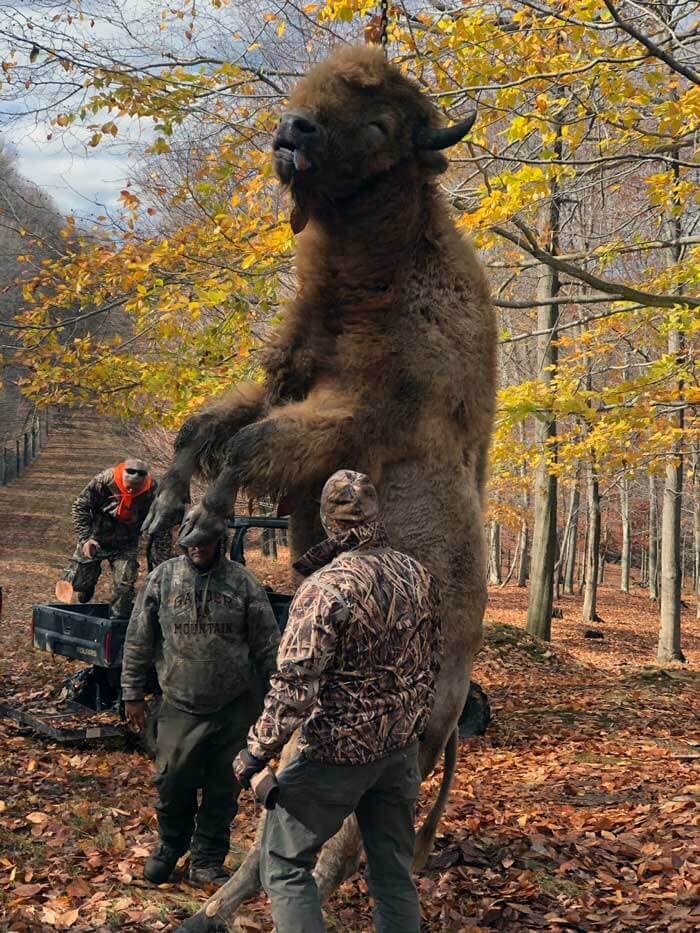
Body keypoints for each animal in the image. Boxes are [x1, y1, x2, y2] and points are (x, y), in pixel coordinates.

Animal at [145, 41, 498, 924]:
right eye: (315, 89)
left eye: (380, 124)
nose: (293, 129)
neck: (390, 262)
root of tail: (456, 710)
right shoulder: (283, 382)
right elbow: (204, 427)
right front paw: (163, 517)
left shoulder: (350, 418)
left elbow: (247, 447)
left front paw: (203, 526)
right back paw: (213, 903)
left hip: (378, 732)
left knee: (330, 840)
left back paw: (231, 904)